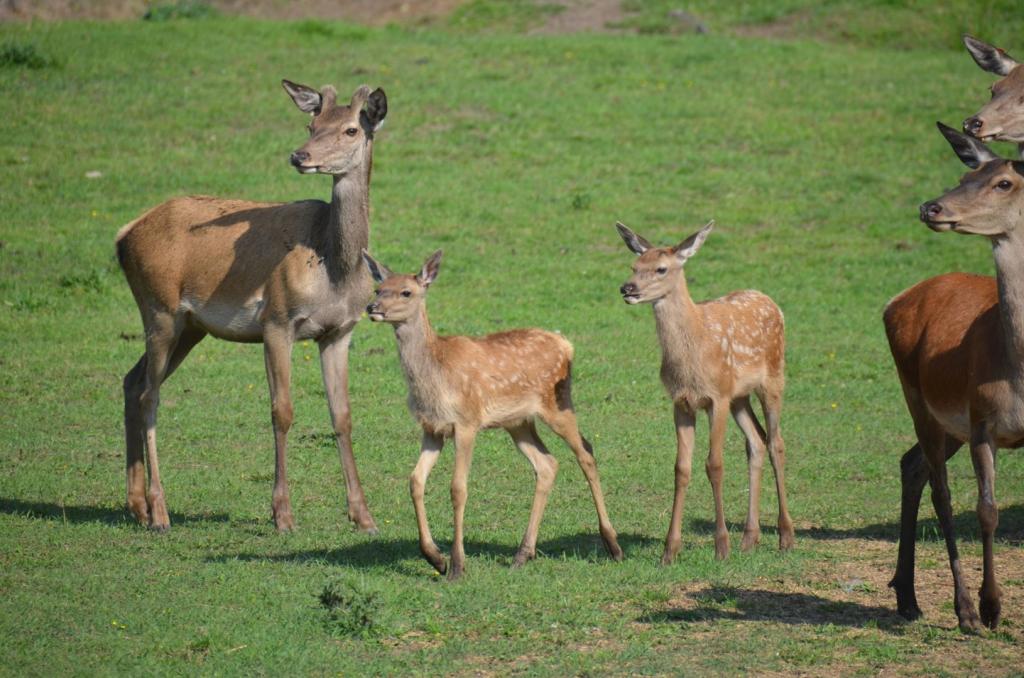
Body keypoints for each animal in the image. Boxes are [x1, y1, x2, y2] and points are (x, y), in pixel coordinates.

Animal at [116, 80, 385, 536]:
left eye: (351, 129)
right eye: (311, 123)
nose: (300, 155)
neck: (334, 268)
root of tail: (123, 235)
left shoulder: (339, 331)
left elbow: (343, 415)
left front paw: (364, 517)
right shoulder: (277, 320)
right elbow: (282, 411)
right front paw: (283, 515)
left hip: (190, 326)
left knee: (131, 382)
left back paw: (136, 506)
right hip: (159, 308)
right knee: (150, 395)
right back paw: (160, 511)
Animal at [360, 251, 622, 581]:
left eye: (406, 291)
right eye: (378, 288)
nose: (372, 308)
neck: (435, 376)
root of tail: (567, 345)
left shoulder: (467, 421)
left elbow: (458, 488)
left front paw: (457, 565)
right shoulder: (432, 428)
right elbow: (415, 480)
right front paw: (435, 558)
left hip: (558, 402)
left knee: (586, 452)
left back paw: (613, 545)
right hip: (518, 422)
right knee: (547, 464)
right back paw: (522, 554)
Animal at [610, 222, 794, 561]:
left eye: (661, 268)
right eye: (634, 266)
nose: (627, 288)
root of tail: (771, 302)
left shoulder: (716, 398)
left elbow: (715, 464)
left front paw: (721, 546)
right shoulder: (681, 402)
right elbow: (681, 468)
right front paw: (670, 550)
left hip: (773, 378)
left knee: (776, 443)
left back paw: (786, 536)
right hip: (739, 396)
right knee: (756, 442)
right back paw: (749, 538)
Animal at [884, 123, 1019, 639]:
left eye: (1004, 182)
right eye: (966, 174)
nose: (931, 208)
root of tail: (897, 300)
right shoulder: (982, 421)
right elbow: (986, 510)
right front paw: (991, 608)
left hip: (948, 425)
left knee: (912, 464)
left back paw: (905, 595)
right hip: (919, 399)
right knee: (938, 487)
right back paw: (958, 609)